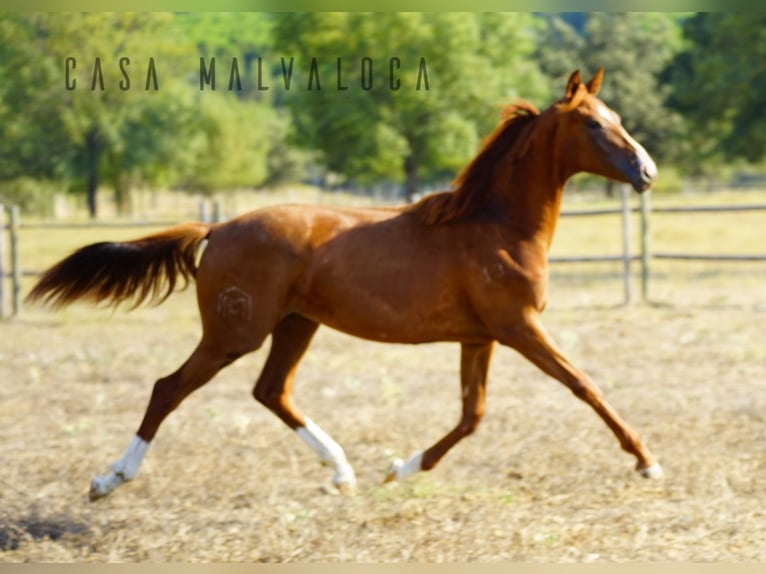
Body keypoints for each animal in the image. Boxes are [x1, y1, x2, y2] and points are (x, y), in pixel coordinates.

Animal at [28, 68, 664, 504]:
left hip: (296, 325)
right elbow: (584, 386)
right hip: (236, 333)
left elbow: (472, 415)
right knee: (169, 388)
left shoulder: (479, 337)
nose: (647, 172)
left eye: (616, 116)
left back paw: (343, 472)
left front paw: (399, 468)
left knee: (271, 392)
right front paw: (647, 461)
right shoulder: (518, 327)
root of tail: (218, 228)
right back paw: (108, 479)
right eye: (593, 122)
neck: (496, 226)